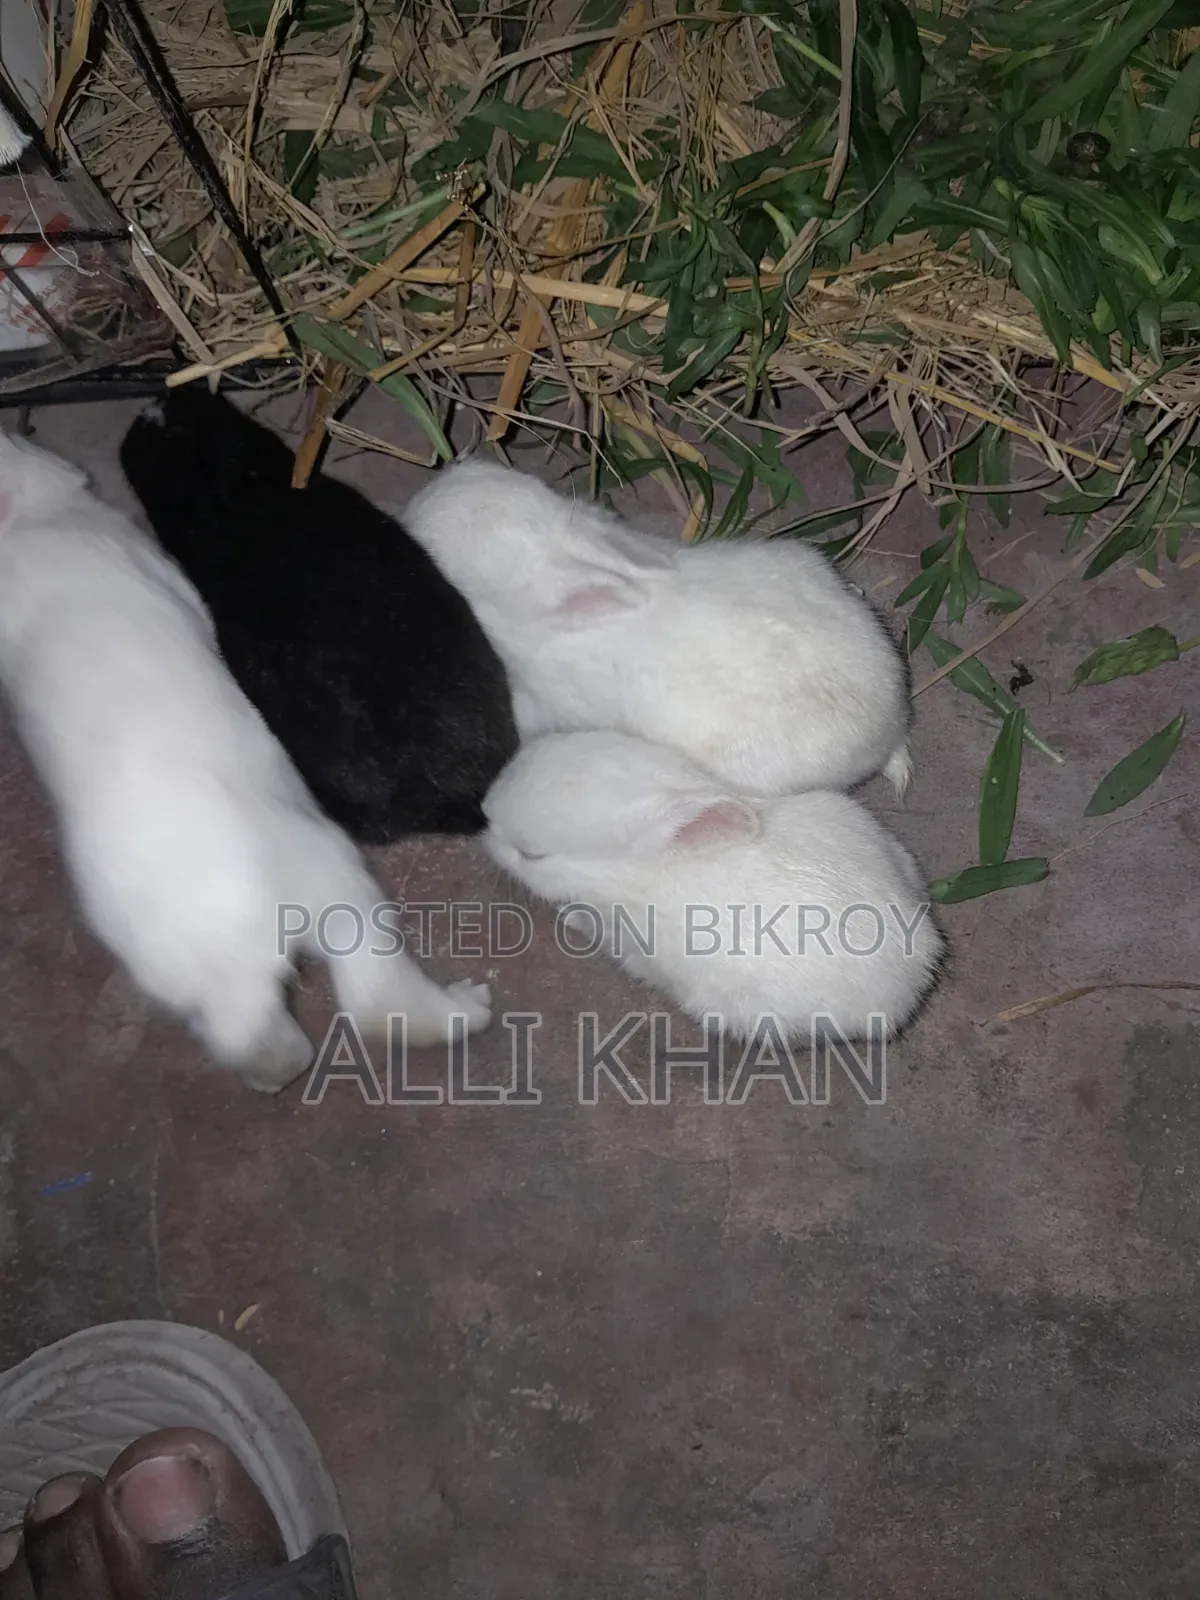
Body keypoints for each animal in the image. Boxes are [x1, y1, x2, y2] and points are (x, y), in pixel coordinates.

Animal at [0, 428, 492, 1093]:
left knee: (250, 1037)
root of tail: (236, 940)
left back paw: (273, 1070)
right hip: (340, 885)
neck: (22, 527)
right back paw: (467, 1010)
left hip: (198, 982)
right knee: (377, 994)